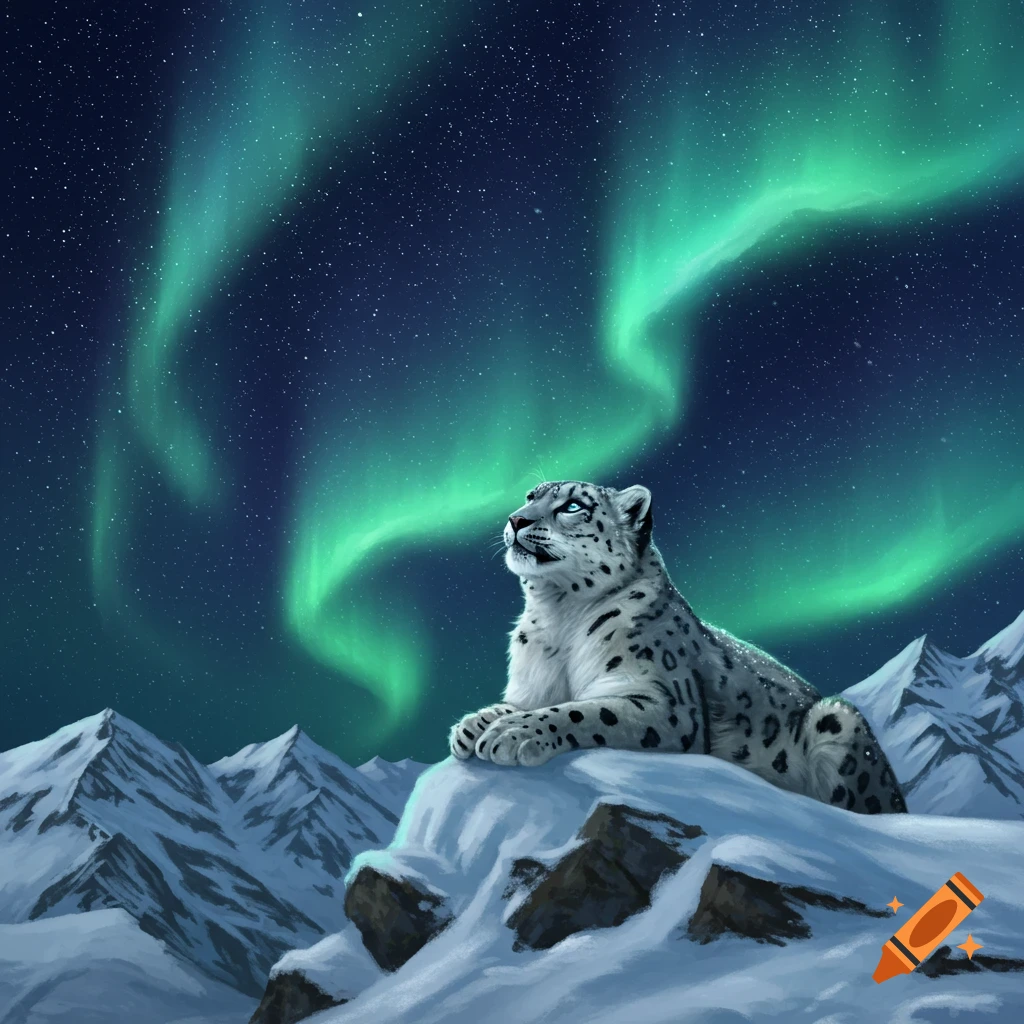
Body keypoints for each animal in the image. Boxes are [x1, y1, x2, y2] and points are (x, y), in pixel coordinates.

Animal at [448, 480, 907, 815]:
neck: (558, 617)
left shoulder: (665, 704)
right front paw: (475, 724)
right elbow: (522, 704)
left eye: (574, 506)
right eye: (530, 496)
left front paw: (512, 733)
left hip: (838, 721)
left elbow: (585, 712)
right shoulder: (532, 688)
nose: (516, 518)